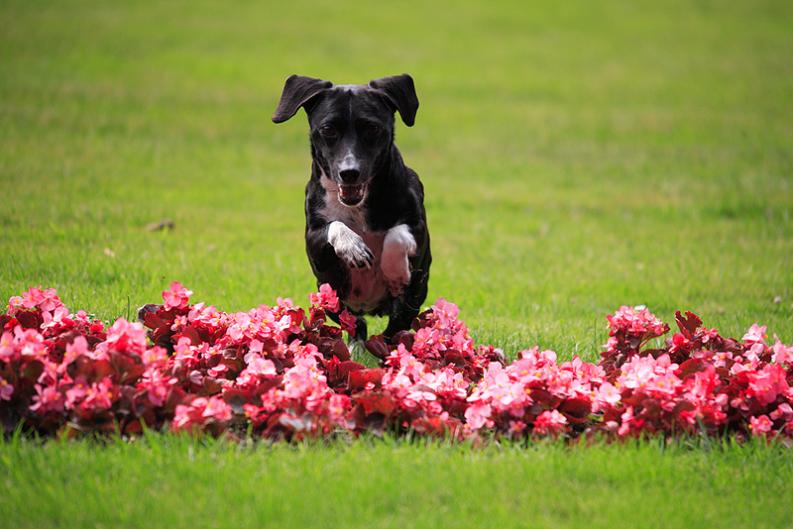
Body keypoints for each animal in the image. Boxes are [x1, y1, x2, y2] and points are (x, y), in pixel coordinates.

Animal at [274, 73, 434, 342]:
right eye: (328, 129)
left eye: (372, 128)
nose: (349, 172)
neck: (359, 207)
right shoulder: (313, 238)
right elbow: (334, 225)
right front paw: (353, 248)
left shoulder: (418, 226)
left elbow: (396, 234)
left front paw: (394, 269)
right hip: (329, 296)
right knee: (357, 325)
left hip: (415, 294)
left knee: (395, 325)